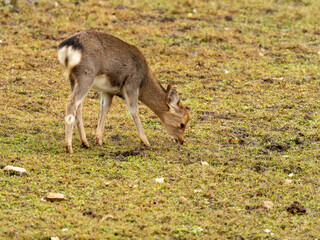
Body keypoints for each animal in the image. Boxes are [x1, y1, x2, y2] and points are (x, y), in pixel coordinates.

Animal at [57, 30, 189, 154]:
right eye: (182, 124)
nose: (181, 141)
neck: (143, 80)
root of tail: (67, 48)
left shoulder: (107, 91)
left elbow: (104, 109)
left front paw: (98, 139)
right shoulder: (132, 84)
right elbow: (134, 110)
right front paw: (145, 141)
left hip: (73, 79)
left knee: (78, 105)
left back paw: (85, 142)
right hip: (86, 75)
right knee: (72, 101)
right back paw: (69, 147)